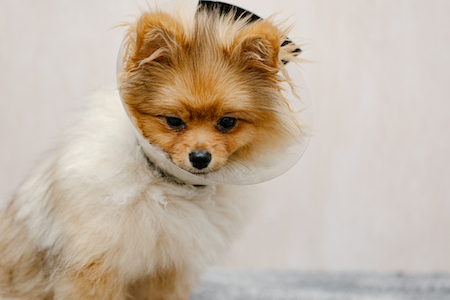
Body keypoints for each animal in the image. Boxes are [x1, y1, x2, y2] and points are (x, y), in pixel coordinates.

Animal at [0, 2, 304, 300]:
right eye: (174, 121)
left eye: (227, 122)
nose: (200, 158)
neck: (163, 182)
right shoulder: (95, 268)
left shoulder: (165, 270)